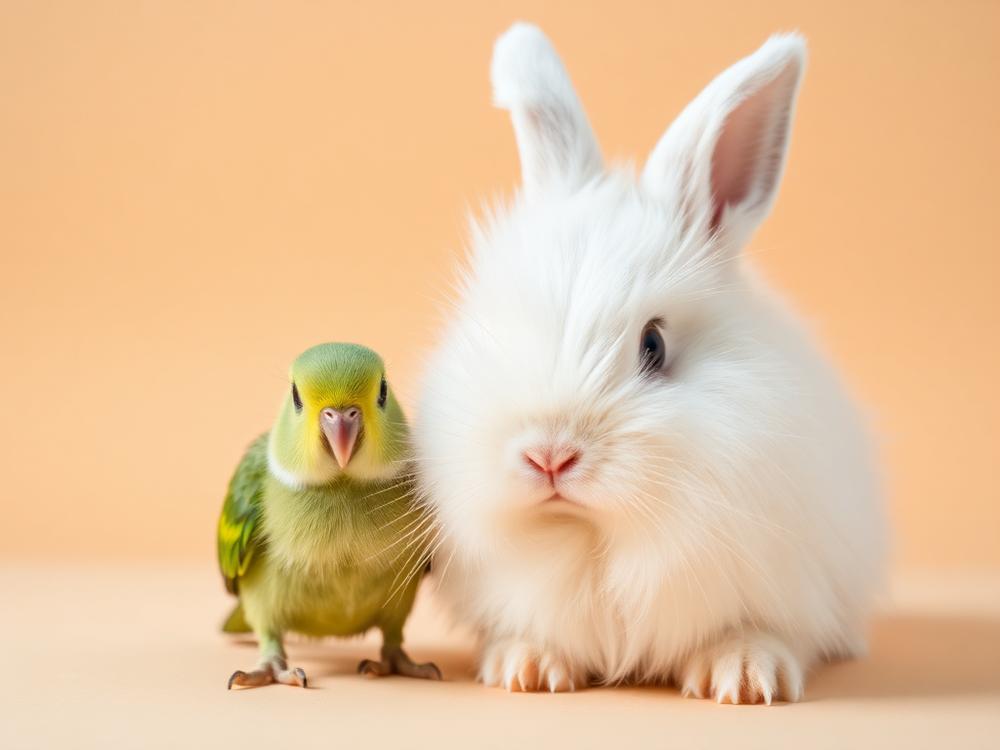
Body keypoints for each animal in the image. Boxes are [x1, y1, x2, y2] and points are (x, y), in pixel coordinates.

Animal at [413, 22, 886, 704]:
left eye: (653, 346)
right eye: (499, 328)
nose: (549, 456)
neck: (595, 538)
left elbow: (759, 630)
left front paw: (744, 677)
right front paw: (527, 669)